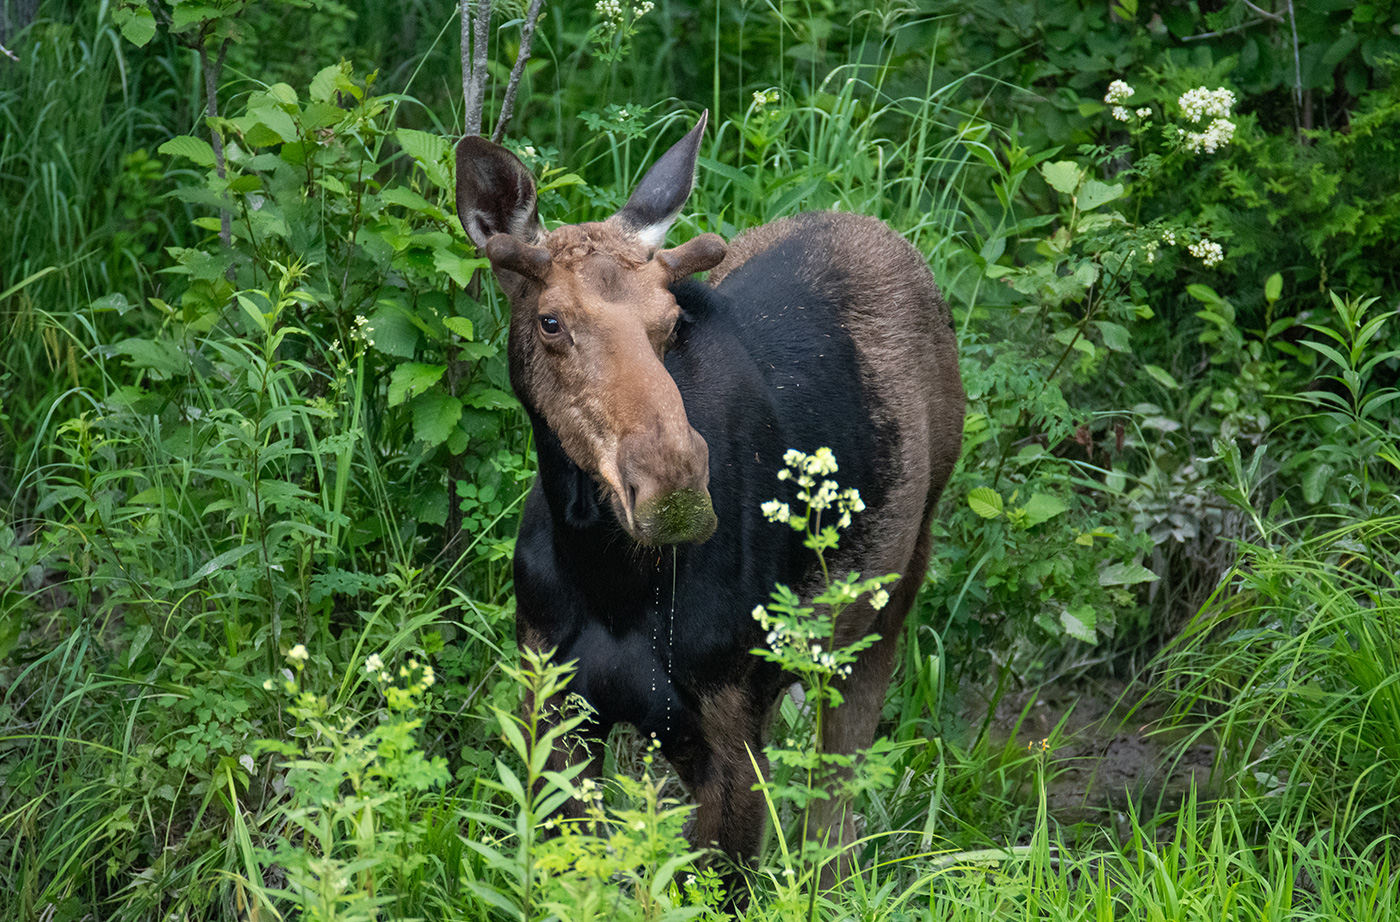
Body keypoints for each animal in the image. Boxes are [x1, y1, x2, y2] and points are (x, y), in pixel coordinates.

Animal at [456, 113, 963, 895]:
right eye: (550, 321)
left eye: (670, 322)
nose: (672, 486)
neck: (608, 578)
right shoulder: (554, 709)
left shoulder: (732, 737)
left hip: (894, 584)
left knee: (839, 787)